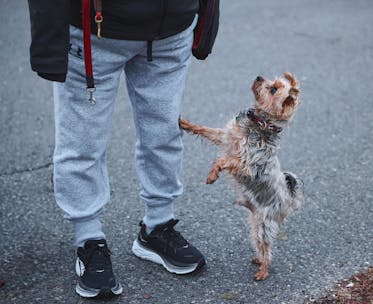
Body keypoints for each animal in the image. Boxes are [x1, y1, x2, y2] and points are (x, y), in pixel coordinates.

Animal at [179, 72, 304, 280]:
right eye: (271, 83)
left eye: (273, 89)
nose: (259, 76)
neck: (259, 123)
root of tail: (289, 198)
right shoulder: (224, 137)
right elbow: (204, 129)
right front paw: (183, 123)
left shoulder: (247, 165)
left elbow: (222, 160)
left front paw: (212, 176)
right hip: (255, 223)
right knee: (259, 244)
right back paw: (258, 260)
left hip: (265, 224)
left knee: (267, 247)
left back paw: (263, 271)